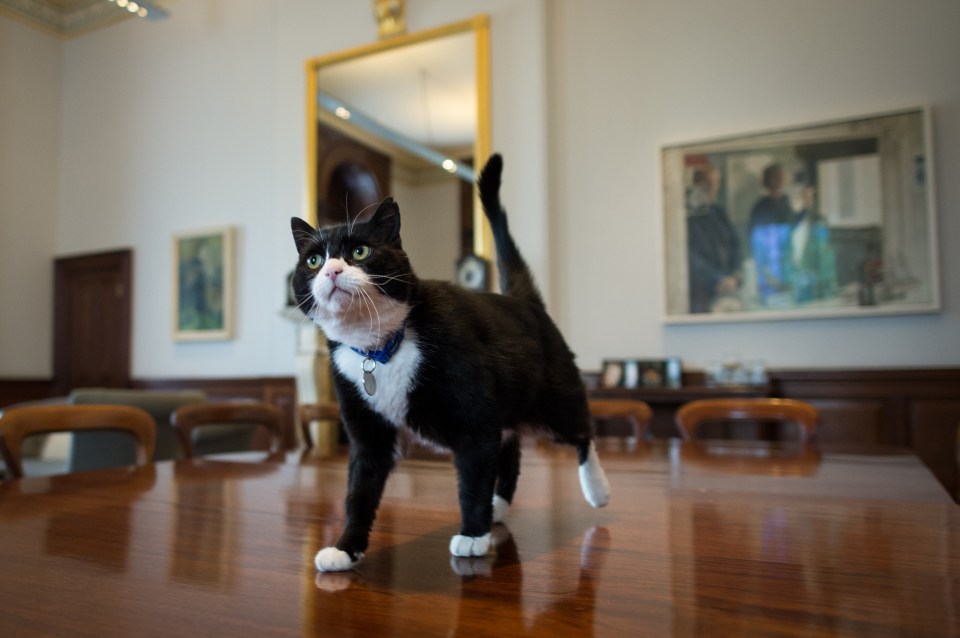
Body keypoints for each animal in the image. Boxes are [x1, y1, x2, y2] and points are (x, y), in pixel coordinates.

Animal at [288, 155, 612, 576]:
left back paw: (596, 489)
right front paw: (345, 548)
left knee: (581, 432)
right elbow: (358, 493)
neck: (380, 348)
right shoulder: (367, 432)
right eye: (313, 260)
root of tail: (526, 302)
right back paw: (497, 507)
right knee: (510, 451)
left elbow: (472, 479)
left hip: (553, 400)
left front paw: (472, 535)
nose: (331, 271)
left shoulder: (475, 421)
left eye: (360, 252)